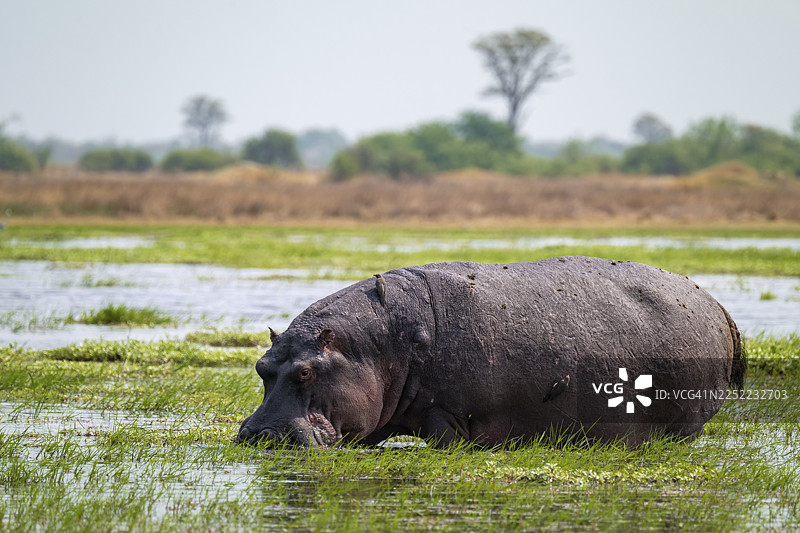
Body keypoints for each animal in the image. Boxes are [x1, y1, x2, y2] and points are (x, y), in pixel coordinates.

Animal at [237, 256, 745, 448]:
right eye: (261, 367)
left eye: (306, 372)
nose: (260, 434)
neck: (380, 343)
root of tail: (716, 303)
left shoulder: (447, 415)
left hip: (685, 419)